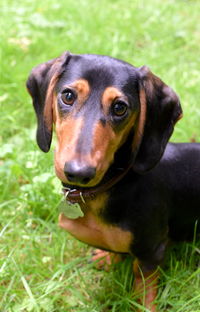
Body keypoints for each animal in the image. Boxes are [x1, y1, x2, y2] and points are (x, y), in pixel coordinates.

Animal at [27, 52, 200, 310]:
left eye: (120, 108)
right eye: (68, 96)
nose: (79, 172)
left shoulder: (152, 250)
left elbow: (144, 287)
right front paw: (109, 257)